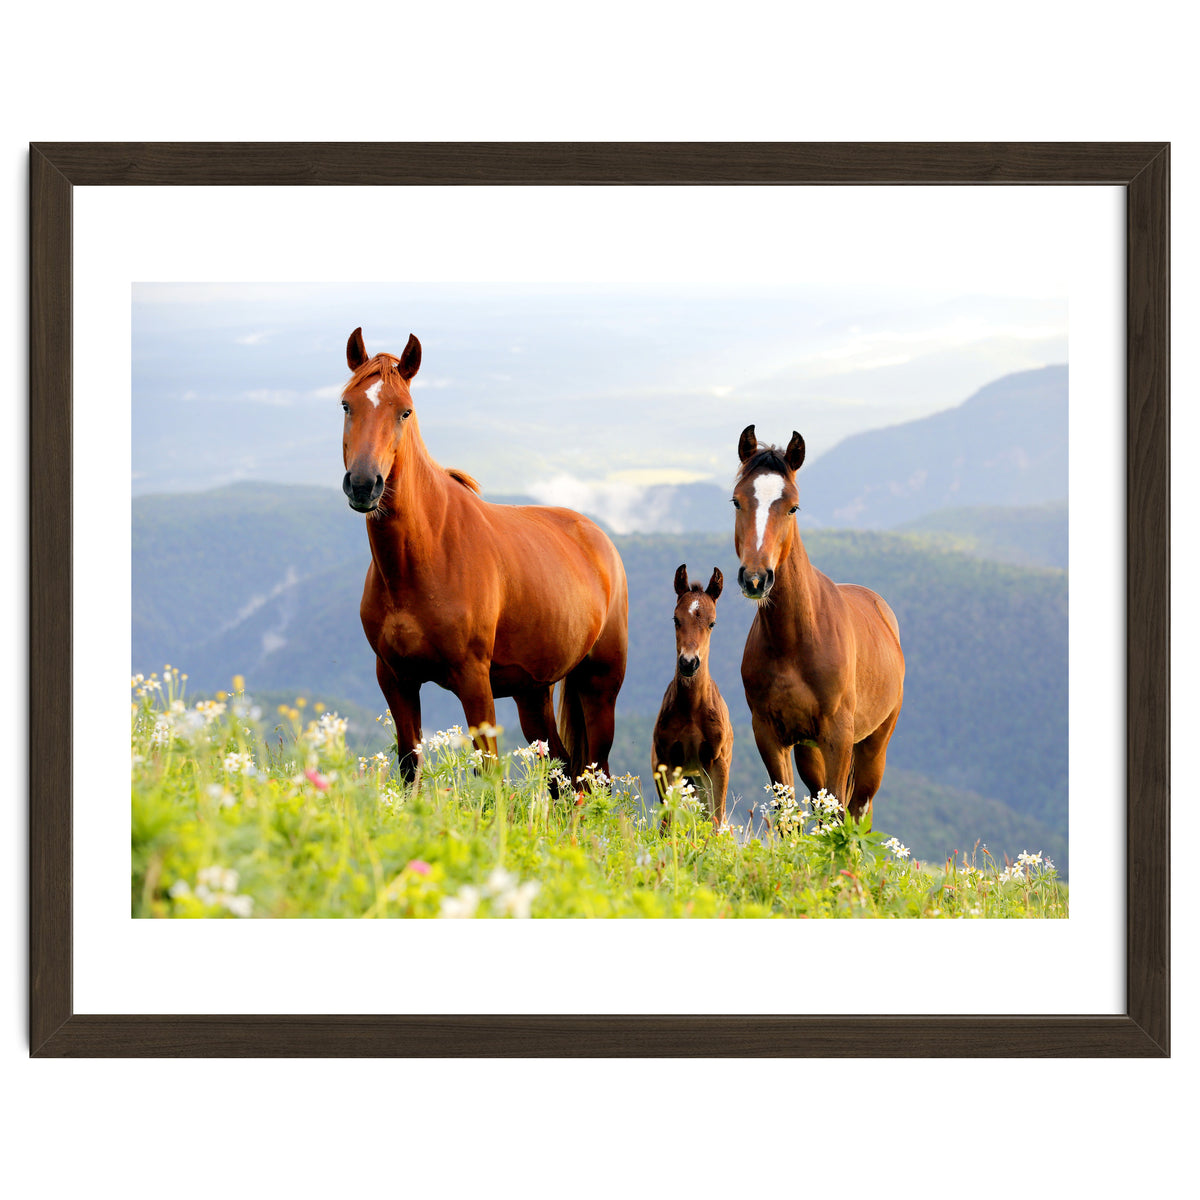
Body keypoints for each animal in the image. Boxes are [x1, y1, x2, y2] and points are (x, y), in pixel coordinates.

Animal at [339, 327, 628, 784]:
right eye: (347, 404)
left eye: (405, 412)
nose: (365, 484)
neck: (423, 558)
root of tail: (600, 540)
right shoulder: (395, 678)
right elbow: (409, 766)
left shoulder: (474, 680)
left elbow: (489, 773)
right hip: (533, 692)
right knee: (561, 770)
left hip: (600, 684)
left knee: (593, 775)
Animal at [651, 565, 734, 828]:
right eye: (676, 619)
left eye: (712, 623)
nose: (689, 662)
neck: (691, 709)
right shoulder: (666, 762)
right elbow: (667, 822)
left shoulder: (717, 763)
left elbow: (716, 820)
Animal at [732, 425, 904, 821]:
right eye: (737, 501)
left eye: (793, 506)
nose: (755, 578)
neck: (794, 640)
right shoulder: (771, 735)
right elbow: (787, 812)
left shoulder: (837, 736)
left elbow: (840, 810)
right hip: (809, 750)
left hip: (874, 743)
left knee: (859, 807)